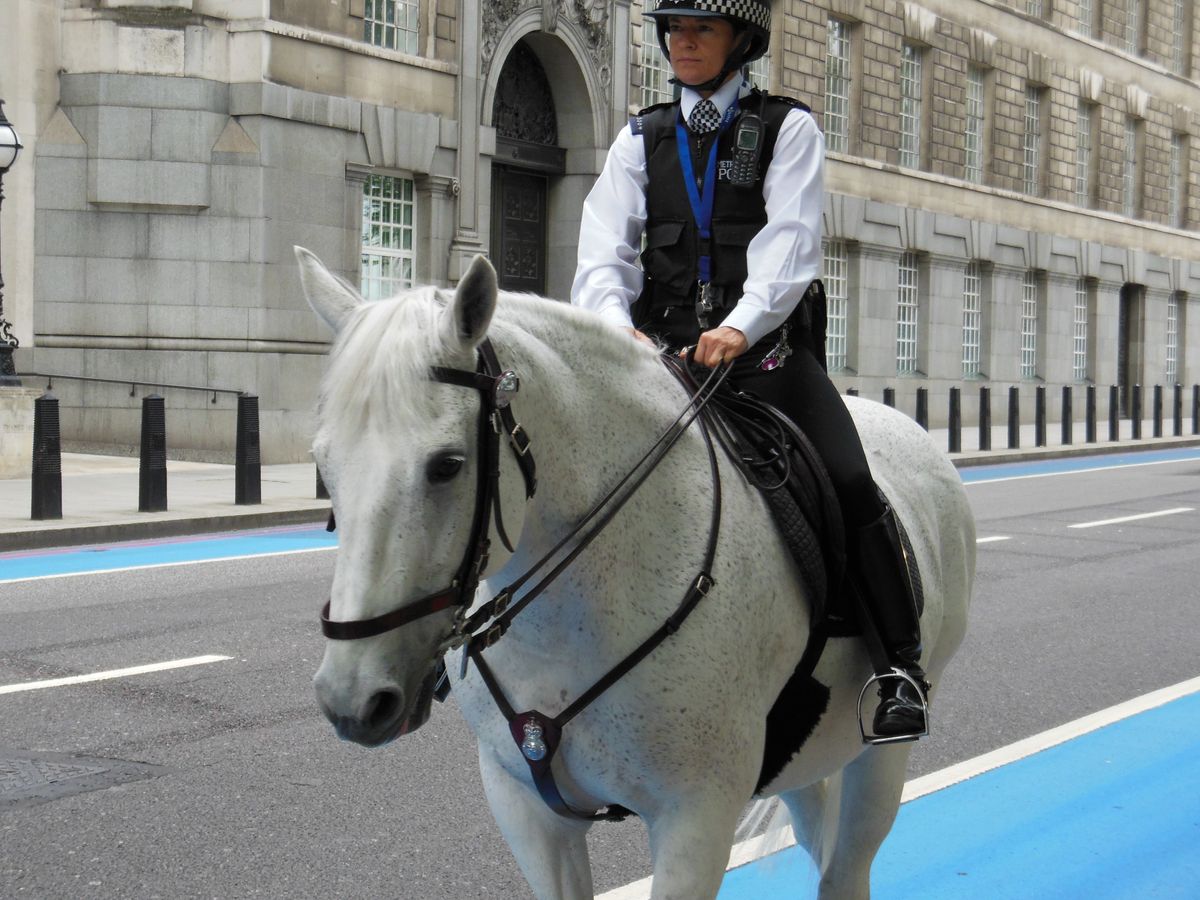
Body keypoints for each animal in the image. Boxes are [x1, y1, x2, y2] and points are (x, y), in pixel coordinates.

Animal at [297, 247, 974, 900]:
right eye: (323, 464)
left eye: (447, 464)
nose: (352, 699)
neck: (568, 623)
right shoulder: (527, 808)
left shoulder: (695, 818)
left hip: (881, 753)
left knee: (845, 870)